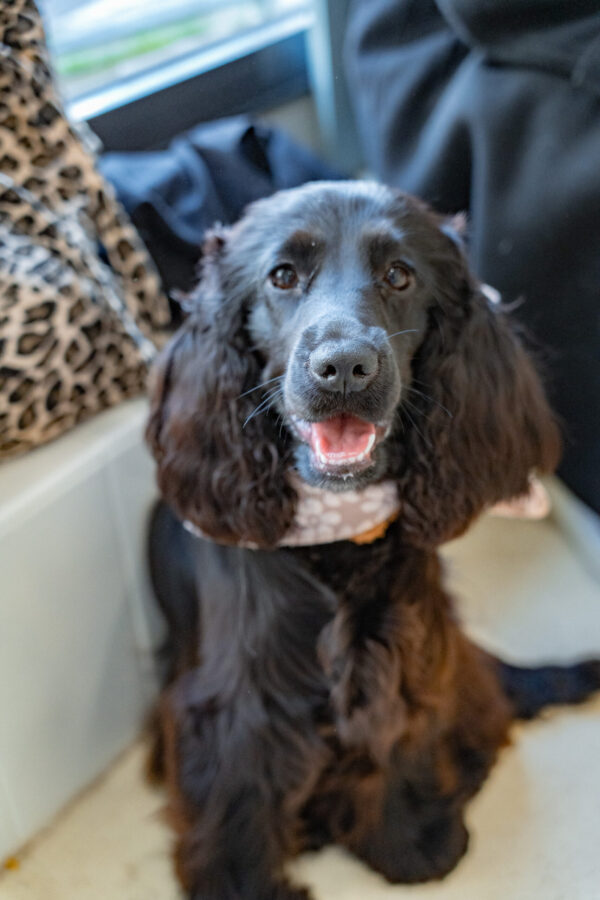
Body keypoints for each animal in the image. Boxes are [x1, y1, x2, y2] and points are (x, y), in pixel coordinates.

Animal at [146, 181, 600, 900]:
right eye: (282, 275)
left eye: (399, 275)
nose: (344, 367)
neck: (336, 525)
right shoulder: (238, 705)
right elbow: (239, 795)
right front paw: (242, 882)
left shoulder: (409, 651)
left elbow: (401, 733)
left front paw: (410, 840)